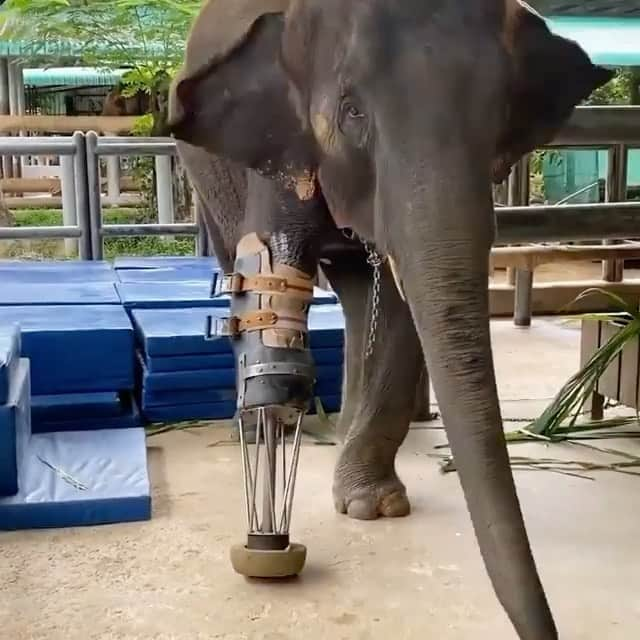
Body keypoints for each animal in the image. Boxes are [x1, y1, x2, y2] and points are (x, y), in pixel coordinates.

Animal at [168, 1, 612, 640]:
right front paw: (274, 423)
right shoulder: (279, 140)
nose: (548, 630)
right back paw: (254, 429)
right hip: (204, 172)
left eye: (500, 111)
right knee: (236, 262)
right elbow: (272, 263)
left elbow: (401, 305)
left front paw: (371, 507)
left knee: (359, 295)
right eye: (352, 111)